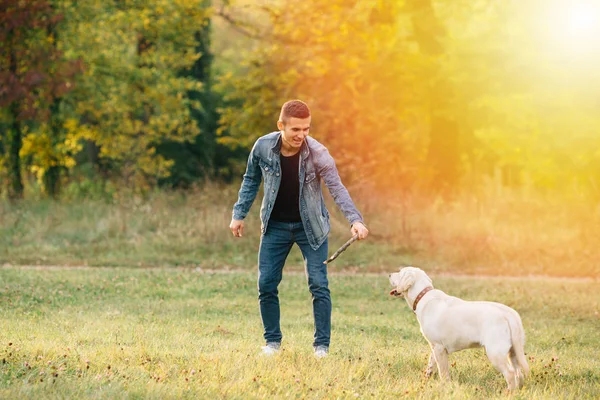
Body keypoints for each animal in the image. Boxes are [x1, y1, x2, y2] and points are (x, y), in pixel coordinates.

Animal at [390, 266, 528, 390]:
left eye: (400, 272)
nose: (390, 275)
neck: (422, 296)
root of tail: (509, 313)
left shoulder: (439, 348)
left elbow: (443, 372)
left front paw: (445, 387)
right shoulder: (434, 346)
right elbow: (431, 364)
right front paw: (426, 380)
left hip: (495, 353)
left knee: (510, 374)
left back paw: (508, 392)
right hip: (513, 352)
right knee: (518, 373)